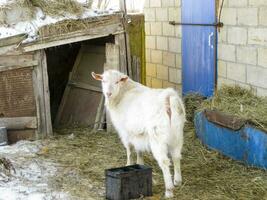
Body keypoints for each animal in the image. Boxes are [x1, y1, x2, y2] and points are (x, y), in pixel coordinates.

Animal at [92, 69, 186, 198]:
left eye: (117, 82)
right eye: (103, 81)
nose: (108, 93)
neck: (123, 93)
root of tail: (168, 97)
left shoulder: (125, 132)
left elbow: (129, 150)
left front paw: (128, 164)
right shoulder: (138, 133)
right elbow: (139, 150)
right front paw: (139, 163)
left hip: (157, 137)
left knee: (164, 161)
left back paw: (169, 190)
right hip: (177, 134)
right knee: (176, 156)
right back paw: (177, 181)